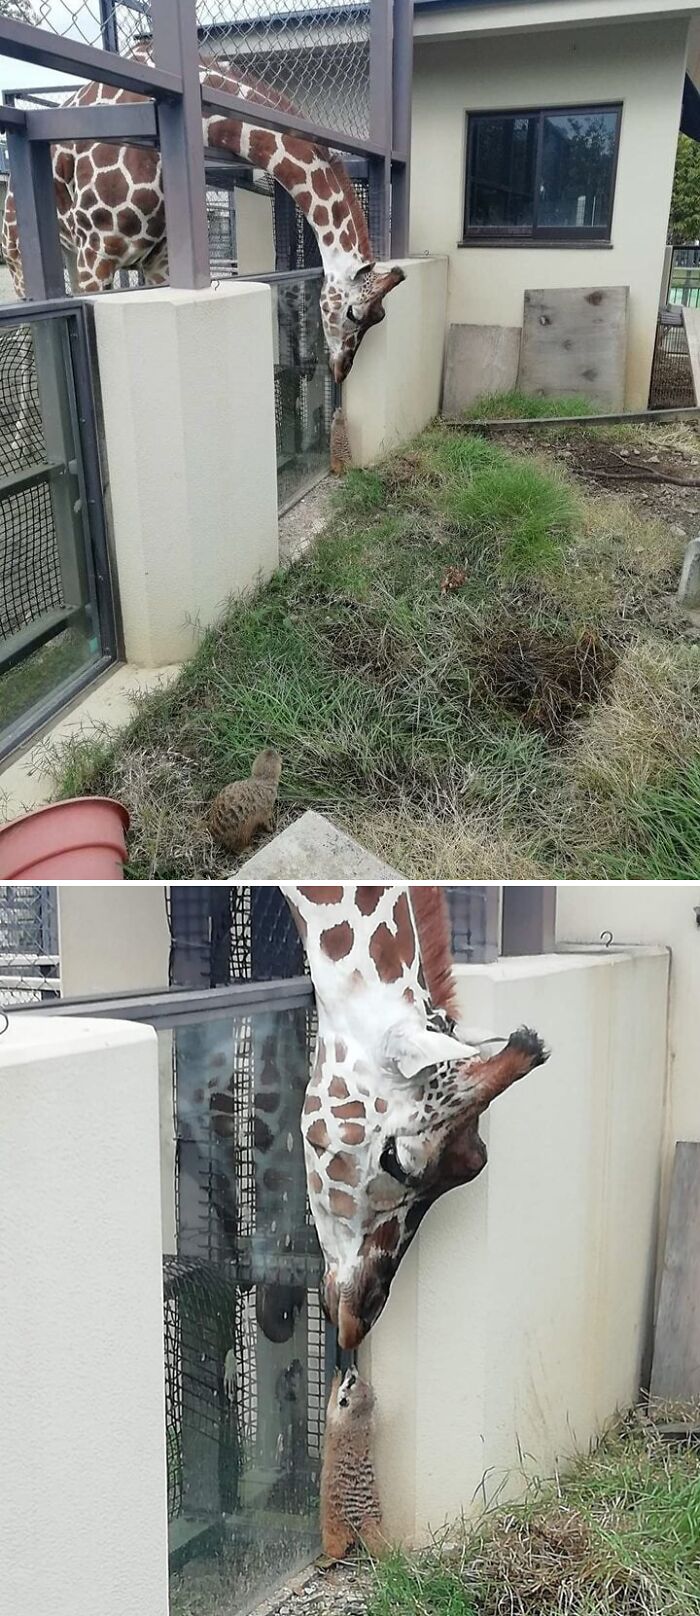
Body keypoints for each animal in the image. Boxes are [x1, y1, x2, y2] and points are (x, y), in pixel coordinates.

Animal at [1, 52, 405, 382]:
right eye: (353, 314)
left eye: (380, 318)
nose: (340, 371)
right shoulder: (97, 252)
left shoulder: (157, 260)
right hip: (21, 260)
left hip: (70, 254)